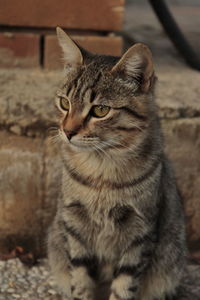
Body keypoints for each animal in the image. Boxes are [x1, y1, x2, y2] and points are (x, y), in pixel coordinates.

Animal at [47, 26, 187, 300]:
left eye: (100, 110)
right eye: (64, 103)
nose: (67, 132)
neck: (102, 171)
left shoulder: (140, 233)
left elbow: (124, 285)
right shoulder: (75, 226)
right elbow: (81, 280)